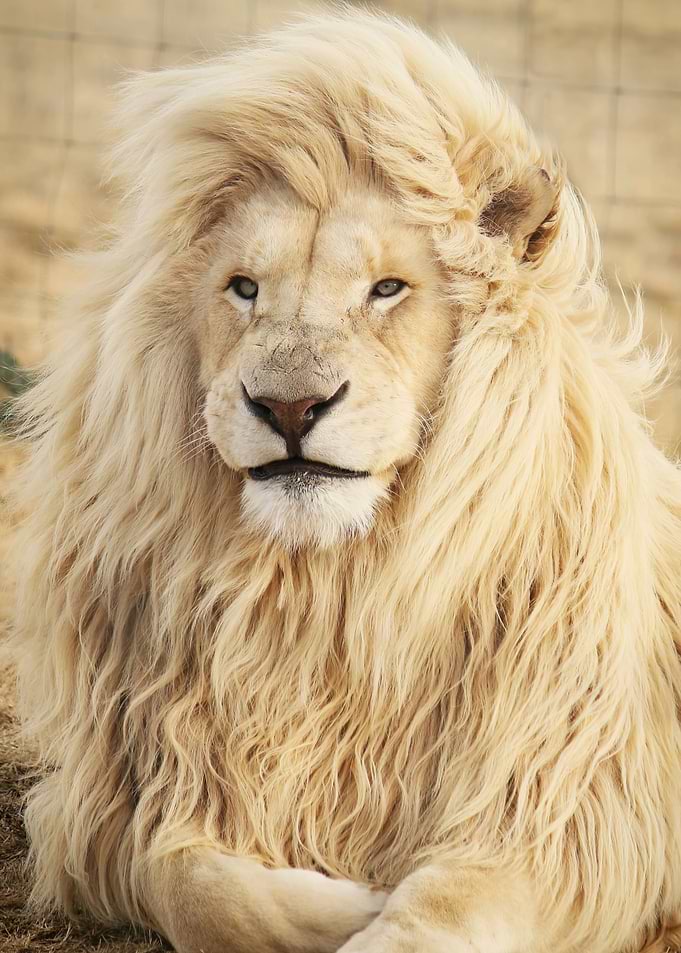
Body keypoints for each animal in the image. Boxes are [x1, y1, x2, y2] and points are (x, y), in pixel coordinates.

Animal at [11, 9, 681, 953]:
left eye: (387, 288)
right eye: (243, 288)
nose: (289, 406)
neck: (325, 596)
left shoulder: (570, 813)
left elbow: (431, 916)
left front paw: (379, 910)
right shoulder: (135, 795)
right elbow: (193, 884)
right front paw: (345, 900)